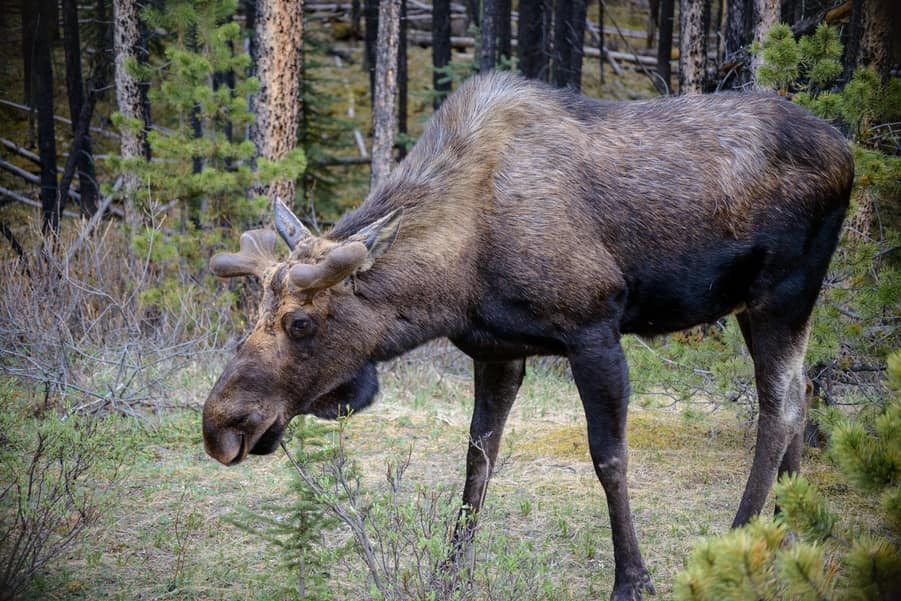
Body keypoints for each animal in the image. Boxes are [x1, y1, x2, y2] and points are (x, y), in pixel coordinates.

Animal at [202, 71, 852, 600]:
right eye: (258, 313)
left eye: (300, 322)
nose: (221, 427)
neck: (457, 274)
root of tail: (848, 151)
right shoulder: (498, 352)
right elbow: (477, 456)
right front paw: (452, 571)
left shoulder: (594, 330)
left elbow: (609, 458)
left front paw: (632, 580)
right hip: (767, 304)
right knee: (799, 396)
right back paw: (787, 533)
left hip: (782, 293)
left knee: (779, 409)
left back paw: (739, 539)